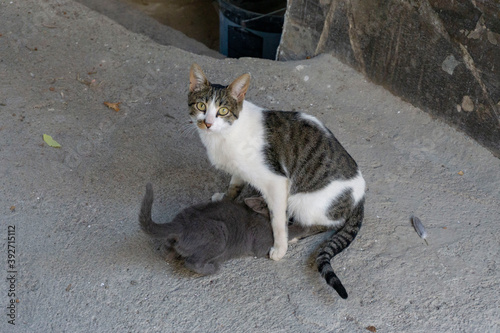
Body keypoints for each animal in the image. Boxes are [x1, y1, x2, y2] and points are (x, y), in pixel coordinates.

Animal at [141, 183, 310, 274]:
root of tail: (179, 224)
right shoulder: (262, 242)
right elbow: (290, 231)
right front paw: (305, 225)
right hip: (219, 234)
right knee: (191, 262)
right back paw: (212, 268)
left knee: (166, 251)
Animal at [189, 63, 366, 296]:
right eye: (201, 106)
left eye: (223, 111)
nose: (207, 123)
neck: (223, 135)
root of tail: (361, 195)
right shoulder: (239, 169)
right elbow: (234, 185)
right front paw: (224, 198)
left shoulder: (276, 181)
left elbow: (277, 220)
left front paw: (280, 248)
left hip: (303, 201)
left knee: (327, 223)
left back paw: (297, 235)